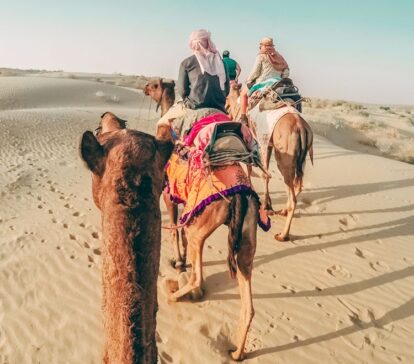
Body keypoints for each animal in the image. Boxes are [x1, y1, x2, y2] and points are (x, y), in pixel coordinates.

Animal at [144, 79, 258, 362]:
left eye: (153, 84)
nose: (143, 87)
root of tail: (240, 196)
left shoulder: (170, 196)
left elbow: (175, 231)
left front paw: (178, 262)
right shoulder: (186, 203)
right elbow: (180, 231)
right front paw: (181, 260)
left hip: (204, 226)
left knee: (197, 276)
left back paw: (175, 294)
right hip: (246, 238)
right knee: (248, 305)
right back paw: (237, 352)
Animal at [226, 89, 314, 240]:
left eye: (226, 96)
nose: (226, 108)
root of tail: (301, 127)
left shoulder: (254, 143)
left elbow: (255, 171)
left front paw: (265, 204)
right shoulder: (267, 145)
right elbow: (264, 173)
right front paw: (267, 205)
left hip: (284, 159)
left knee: (292, 195)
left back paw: (283, 235)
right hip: (300, 159)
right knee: (297, 185)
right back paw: (283, 211)